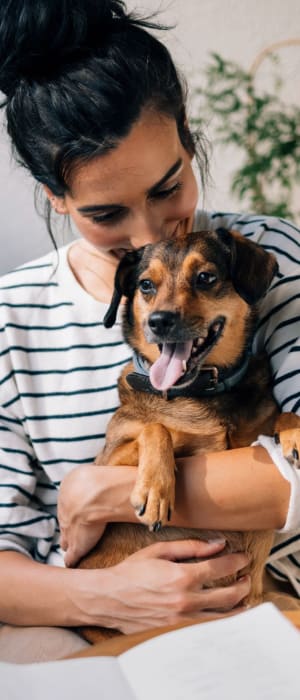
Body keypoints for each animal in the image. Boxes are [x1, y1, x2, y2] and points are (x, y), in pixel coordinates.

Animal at [78, 228, 300, 640]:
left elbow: (284, 412)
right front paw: (155, 490)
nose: (159, 321)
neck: (202, 393)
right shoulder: (105, 462)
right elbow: (155, 427)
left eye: (205, 278)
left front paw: (293, 432)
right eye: (146, 285)